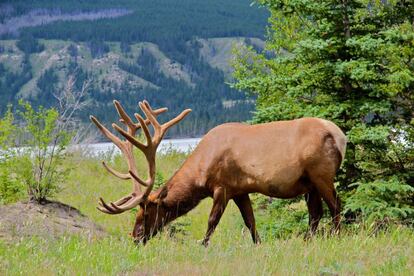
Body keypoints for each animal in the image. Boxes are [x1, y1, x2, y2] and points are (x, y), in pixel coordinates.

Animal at [90, 100, 346, 245]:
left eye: (145, 213)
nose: (135, 237)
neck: (200, 171)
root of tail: (341, 136)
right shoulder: (240, 190)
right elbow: (250, 222)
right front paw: (258, 244)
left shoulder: (222, 187)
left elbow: (212, 221)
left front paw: (202, 245)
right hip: (309, 183)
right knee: (315, 213)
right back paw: (308, 240)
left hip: (321, 175)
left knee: (335, 206)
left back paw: (335, 237)